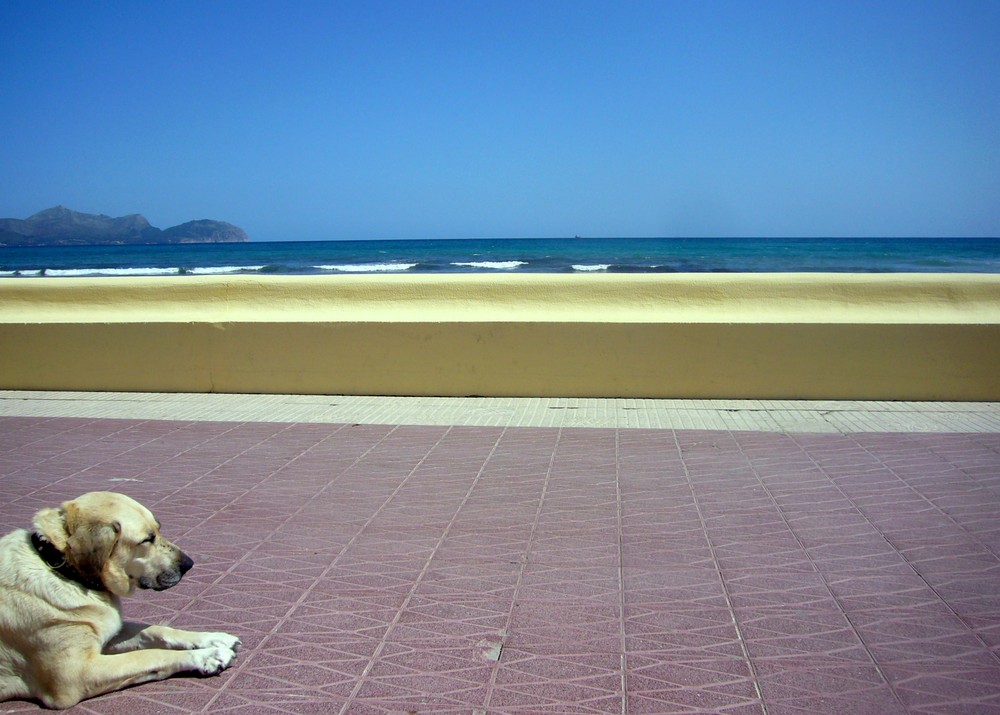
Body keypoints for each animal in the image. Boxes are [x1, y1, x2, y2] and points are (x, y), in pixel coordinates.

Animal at [0, 492, 242, 712]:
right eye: (146, 540)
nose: (189, 564)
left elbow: (155, 630)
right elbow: (149, 655)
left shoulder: (109, 633)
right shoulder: (76, 675)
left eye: (158, 529)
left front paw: (213, 639)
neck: (61, 566)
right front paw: (208, 656)